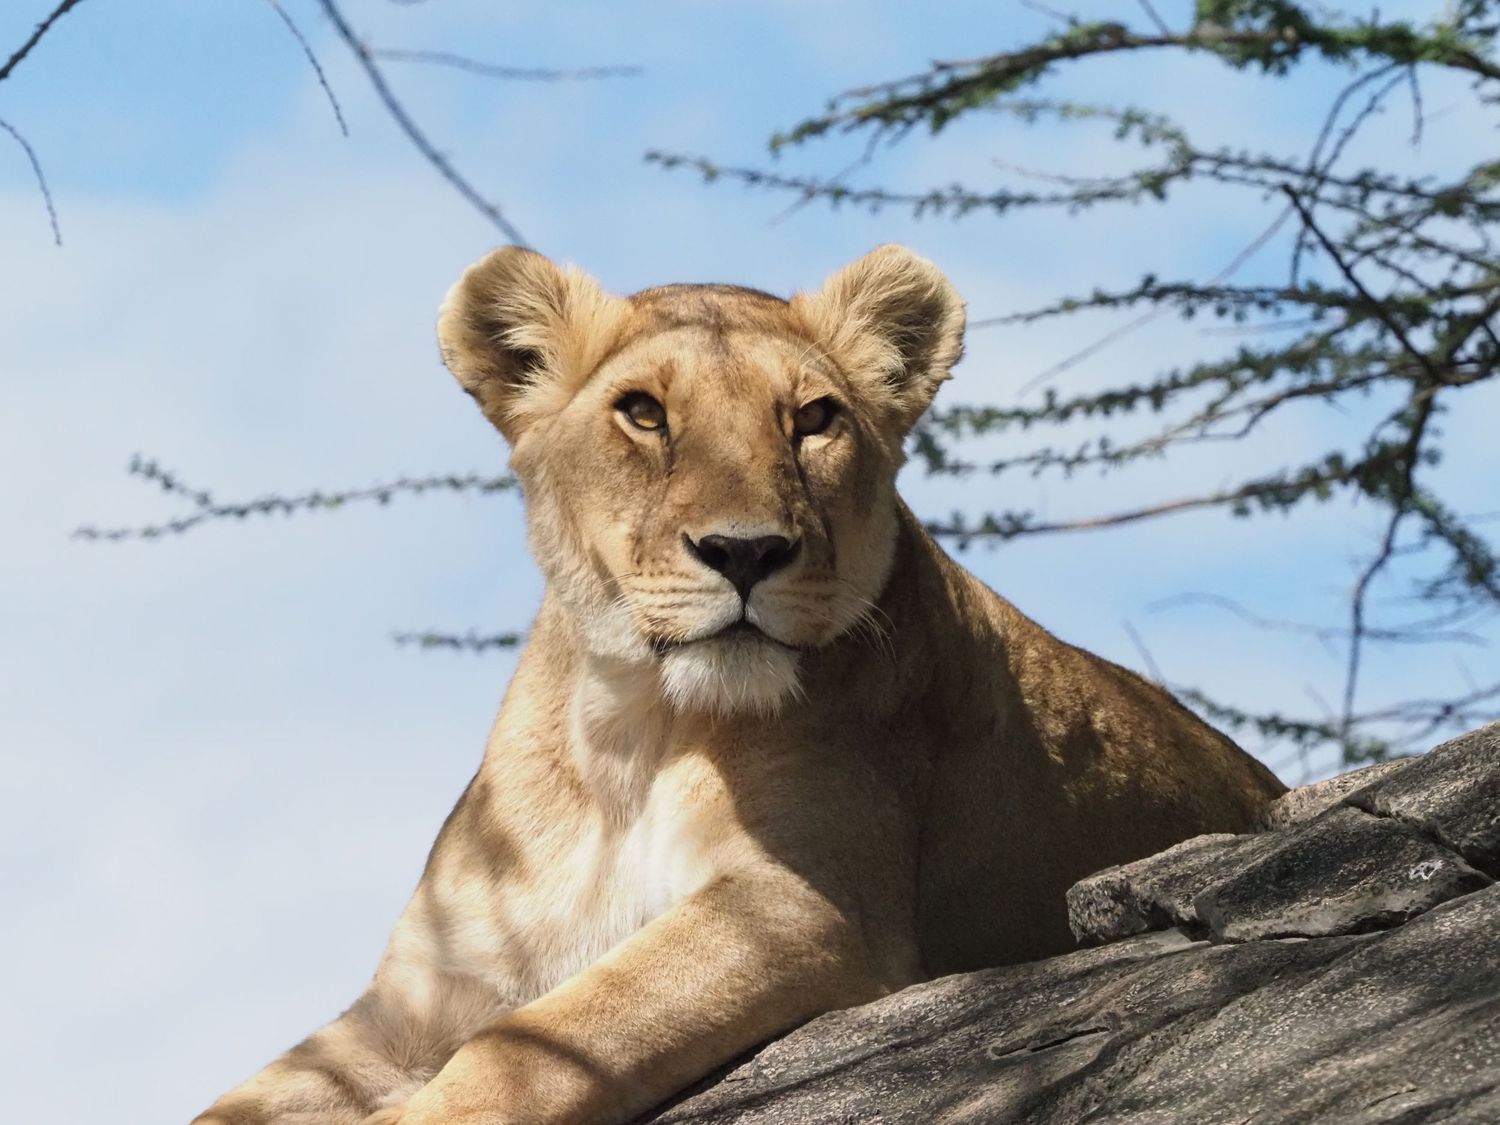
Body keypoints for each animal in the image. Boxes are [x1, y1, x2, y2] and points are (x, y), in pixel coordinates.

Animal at [193, 245, 1285, 1125]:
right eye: (642, 413)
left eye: (813, 419)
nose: (747, 552)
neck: (625, 732)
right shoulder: (417, 994)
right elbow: (236, 1103)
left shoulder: (799, 903)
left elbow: (532, 1044)